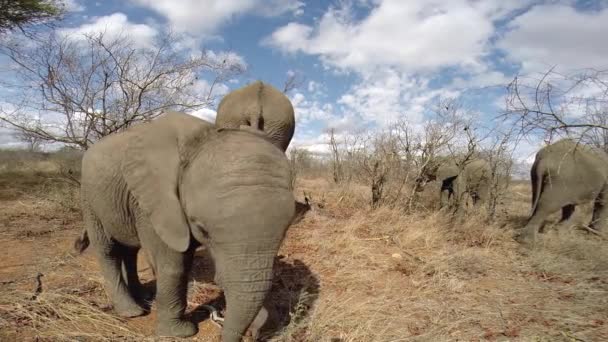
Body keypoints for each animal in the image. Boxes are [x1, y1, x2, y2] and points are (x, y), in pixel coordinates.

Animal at [73, 111, 308, 340]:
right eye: (203, 229)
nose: (254, 333)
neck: (204, 136)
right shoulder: (153, 200)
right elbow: (173, 263)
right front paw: (179, 333)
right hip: (88, 197)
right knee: (108, 251)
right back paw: (132, 311)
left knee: (130, 251)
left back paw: (144, 297)